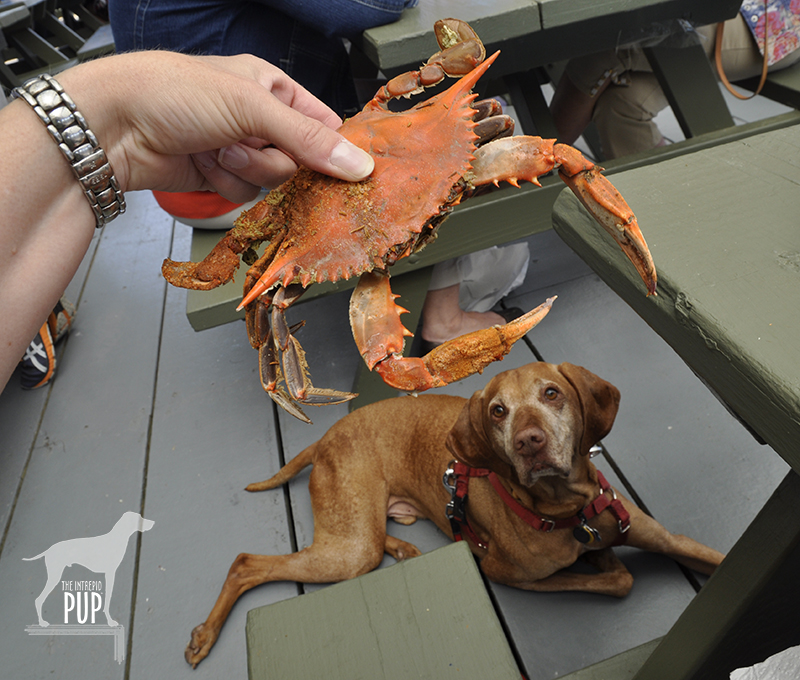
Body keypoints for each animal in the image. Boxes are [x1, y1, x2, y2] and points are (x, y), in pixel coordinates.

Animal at [186, 364, 724, 668]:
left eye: (552, 393)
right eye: (498, 411)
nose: (530, 443)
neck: (568, 510)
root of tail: (323, 437)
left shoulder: (668, 539)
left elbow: (711, 560)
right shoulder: (504, 573)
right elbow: (617, 580)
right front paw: (605, 561)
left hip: (359, 534)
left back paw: (403, 548)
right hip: (350, 550)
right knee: (247, 563)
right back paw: (205, 635)